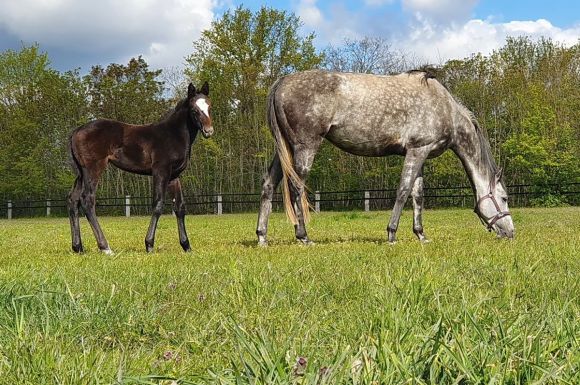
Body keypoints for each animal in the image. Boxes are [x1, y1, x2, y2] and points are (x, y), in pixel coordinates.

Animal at [68, 82, 213, 254]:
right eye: (194, 110)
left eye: (209, 106)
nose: (209, 131)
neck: (173, 135)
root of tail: (76, 131)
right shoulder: (160, 171)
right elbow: (158, 204)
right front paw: (149, 244)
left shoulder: (174, 176)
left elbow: (180, 207)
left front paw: (186, 246)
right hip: (93, 168)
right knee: (87, 199)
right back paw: (105, 248)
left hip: (81, 172)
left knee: (73, 200)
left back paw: (78, 247)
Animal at [256, 69, 516, 244]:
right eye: (504, 198)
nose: (511, 232)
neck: (446, 109)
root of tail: (282, 82)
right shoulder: (417, 151)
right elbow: (403, 191)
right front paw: (391, 234)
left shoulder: (420, 153)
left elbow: (417, 195)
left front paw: (421, 235)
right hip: (305, 147)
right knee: (296, 187)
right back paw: (303, 236)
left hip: (285, 149)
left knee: (269, 184)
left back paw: (262, 236)